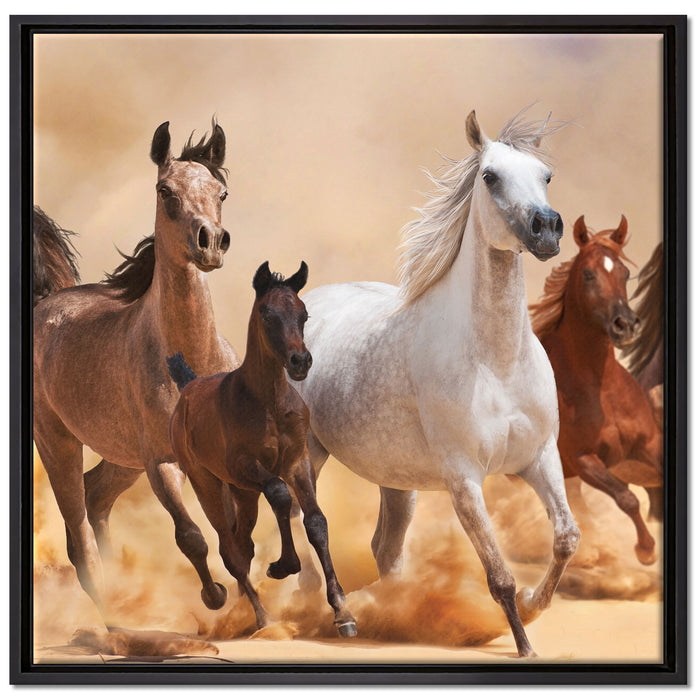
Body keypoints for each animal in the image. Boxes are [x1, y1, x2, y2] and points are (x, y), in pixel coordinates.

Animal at [33, 120, 240, 621]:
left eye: (221, 192)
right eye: (166, 191)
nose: (211, 242)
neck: (191, 361)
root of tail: (44, 303)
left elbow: (233, 539)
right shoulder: (162, 462)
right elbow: (192, 537)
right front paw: (214, 597)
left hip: (121, 456)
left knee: (95, 496)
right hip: (58, 443)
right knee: (80, 534)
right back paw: (111, 619)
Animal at [167, 261, 357, 637]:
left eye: (303, 313)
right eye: (267, 313)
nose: (300, 361)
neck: (268, 403)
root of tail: (188, 386)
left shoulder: (298, 461)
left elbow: (316, 522)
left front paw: (343, 612)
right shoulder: (246, 465)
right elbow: (280, 495)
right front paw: (283, 566)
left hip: (243, 494)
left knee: (243, 544)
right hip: (208, 482)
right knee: (229, 550)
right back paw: (260, 616)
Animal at [293, 108, 580, 658]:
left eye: (547, 176)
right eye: (490, 176)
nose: (547, 229)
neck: (496, 362)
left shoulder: (539, 457)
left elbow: (565, 538)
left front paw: (536, 605)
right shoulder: (463, 479)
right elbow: (499, 575)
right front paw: (524, 644)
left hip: (395, 479)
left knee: (386, 549)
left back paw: (387, 613)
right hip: (308, 455)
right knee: (304, 527)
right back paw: (326, 613)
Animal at [529, 215, 663, 563]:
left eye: (625, 273)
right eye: (588, 274)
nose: (625, 325)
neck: (601, 390)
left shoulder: (649, 445)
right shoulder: (583, 460)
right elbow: (626, 497)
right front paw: (646, 550)